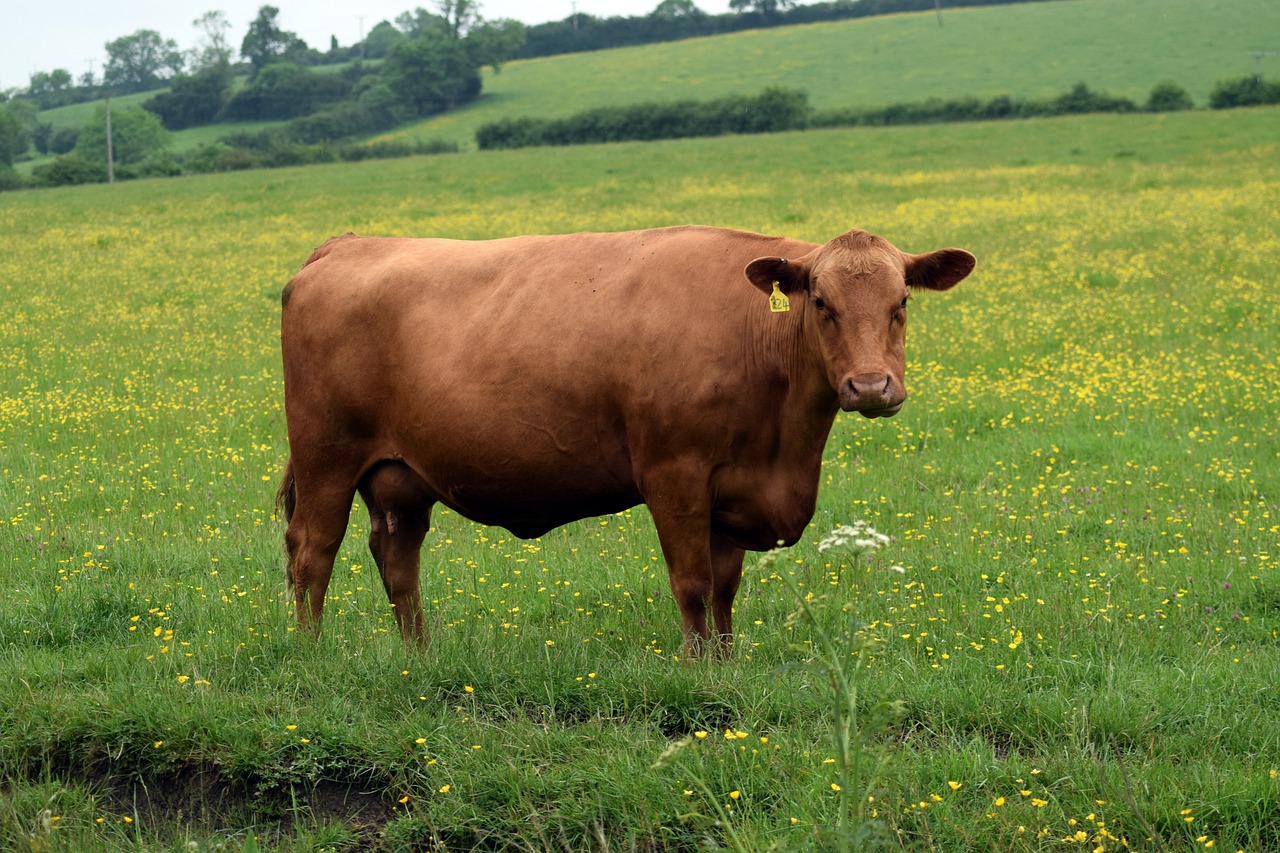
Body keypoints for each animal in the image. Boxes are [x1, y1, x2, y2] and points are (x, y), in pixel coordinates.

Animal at [272, 224, 967, 650]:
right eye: (820, 302)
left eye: (902, 301)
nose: (870, 386)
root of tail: (347, 244)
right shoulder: (675, 474)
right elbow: (692, 583)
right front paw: (698, 674)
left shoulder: (733, 491)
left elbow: (725, 588)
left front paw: (727, 667)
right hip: (326, 456)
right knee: (312, 550)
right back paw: (312, 653)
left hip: (400, 476)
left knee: (397, 556)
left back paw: (420, 654)